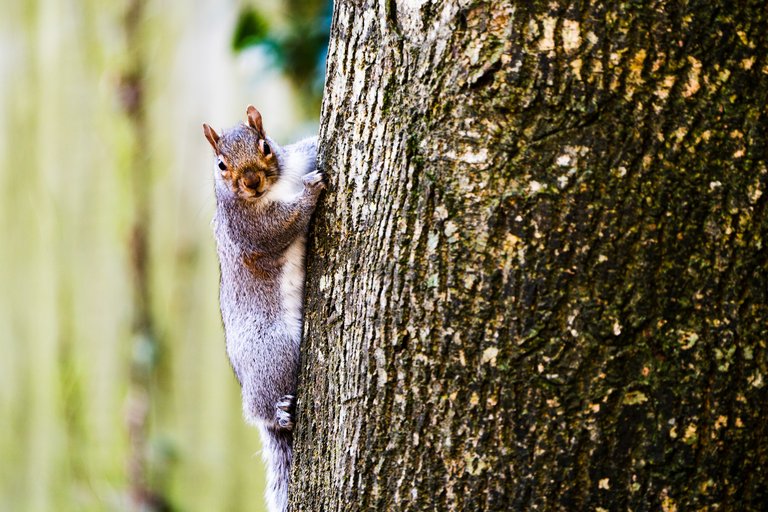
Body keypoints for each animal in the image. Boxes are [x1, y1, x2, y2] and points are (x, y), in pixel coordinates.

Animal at [201, 106, 324, 512]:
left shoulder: (299, 157)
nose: (251, 182)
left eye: (265, 146)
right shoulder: (247, 227)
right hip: (275, 351)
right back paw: (281, 414)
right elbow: (278, 228)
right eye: (221, 165)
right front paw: (309, 194)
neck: (277, 187)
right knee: (264, 410)